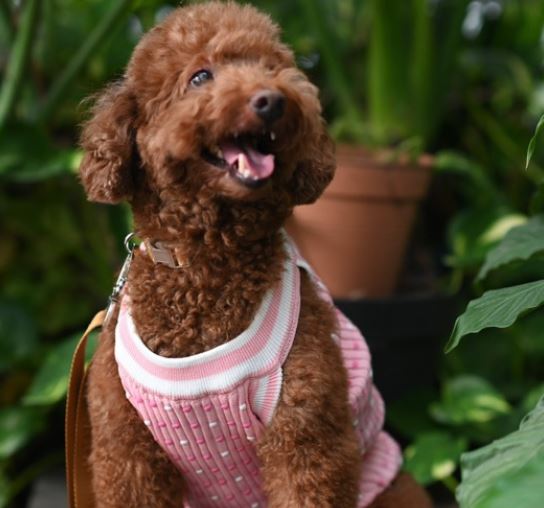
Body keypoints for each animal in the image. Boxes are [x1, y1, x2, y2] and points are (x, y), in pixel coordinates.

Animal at [77, 1, 434, 506]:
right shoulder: (128, 451)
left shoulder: (306, 439)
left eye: (272, 69)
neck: (207, 263)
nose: (272, 101)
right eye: (200, 76)